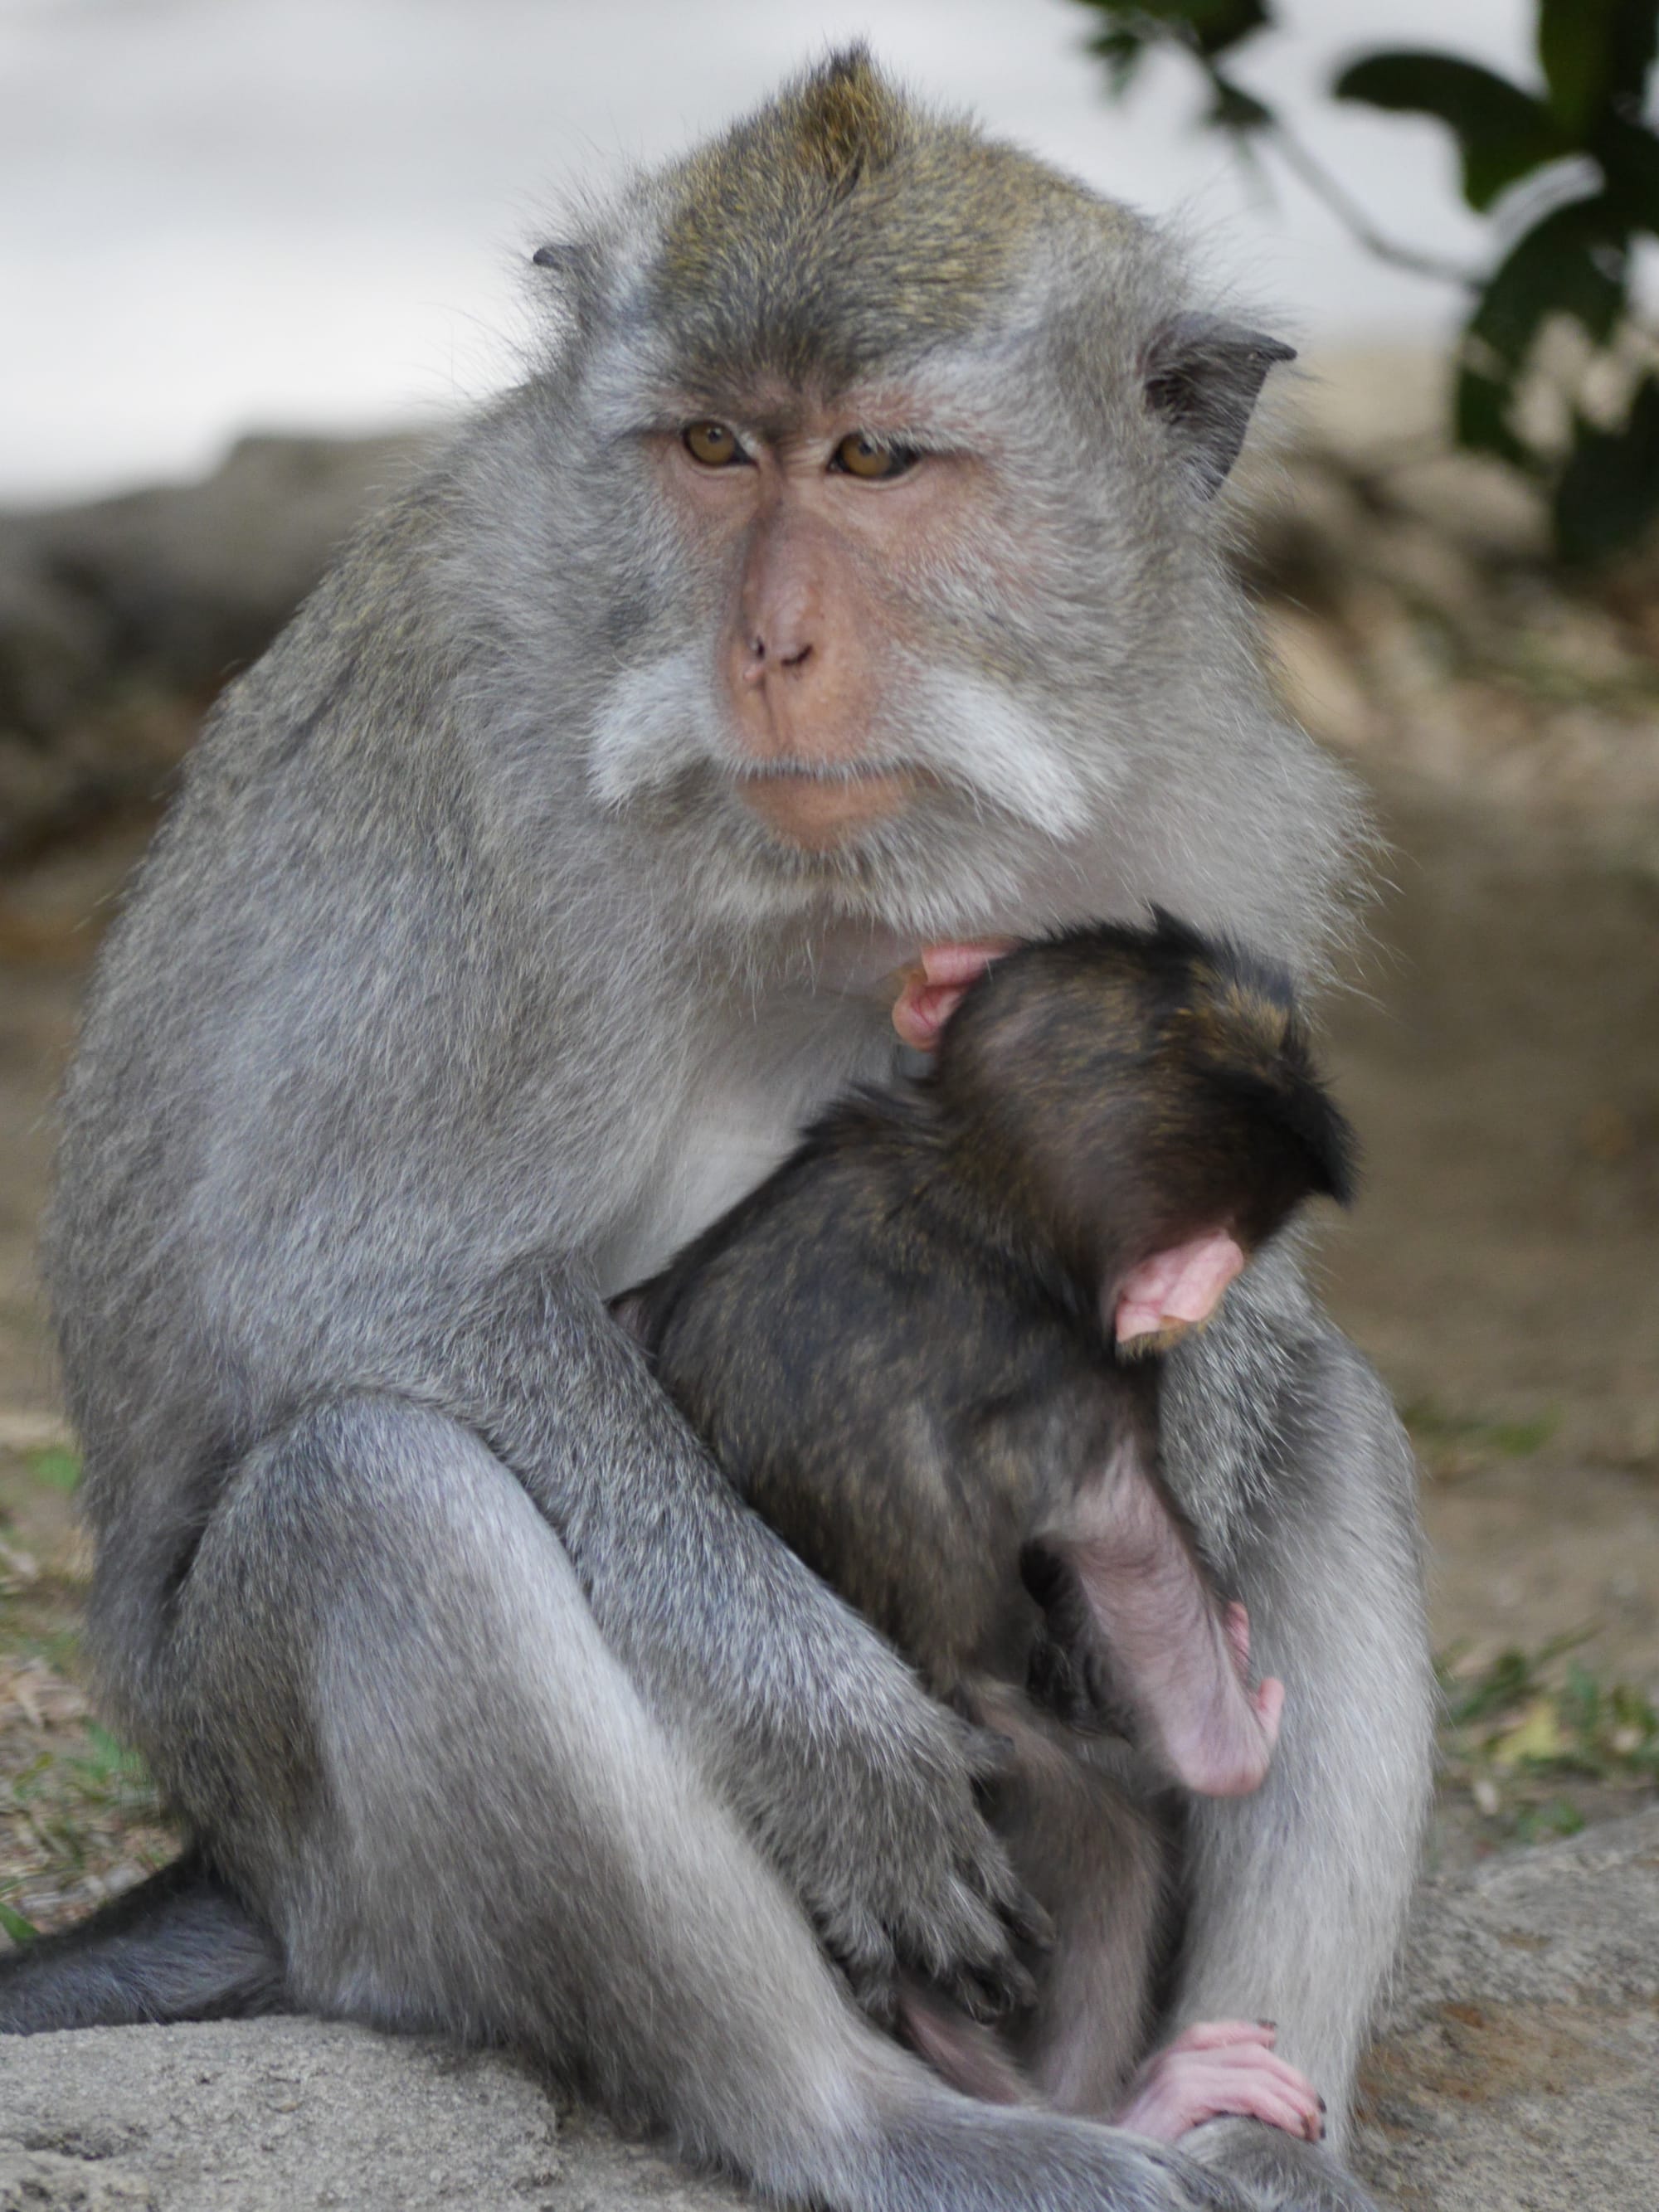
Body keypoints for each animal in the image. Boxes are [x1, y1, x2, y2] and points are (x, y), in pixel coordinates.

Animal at [619, 916, 1354, 2141]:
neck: (969, 1186)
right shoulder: (1089, 1400)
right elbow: (1162, 1629)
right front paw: (1243, 1705)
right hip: (1013, 1783)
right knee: (1109, 1833)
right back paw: (1126, 2108)